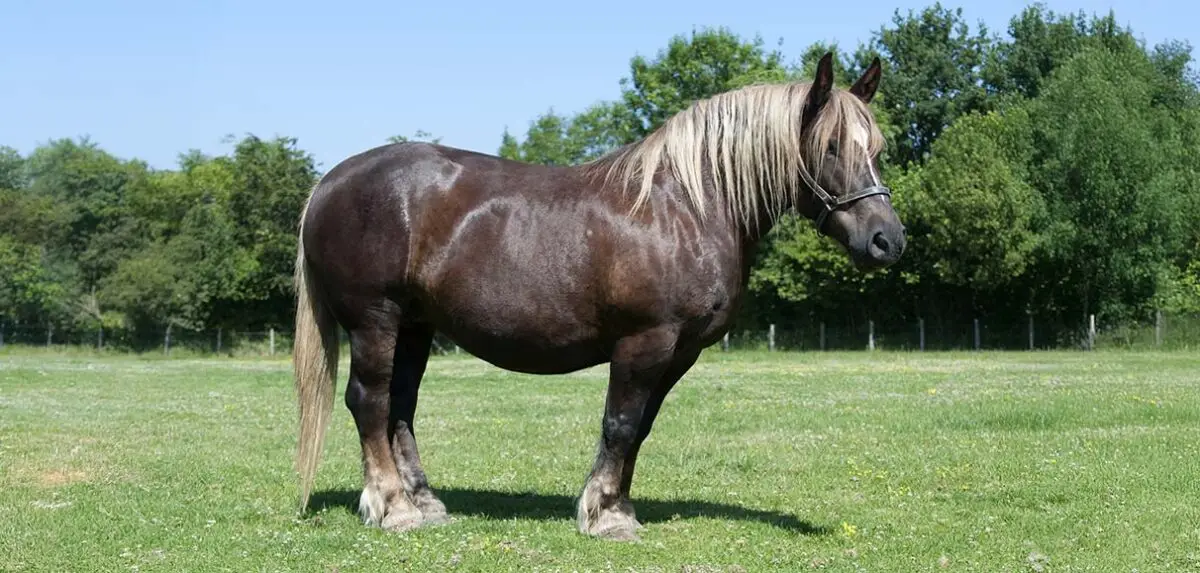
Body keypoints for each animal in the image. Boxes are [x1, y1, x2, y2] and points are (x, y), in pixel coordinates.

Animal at [291, 52, 905, 541]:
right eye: (830, 146)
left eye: (875, 147)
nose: (887, 240)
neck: (687, 207)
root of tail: (329, 183)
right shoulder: (644, 341)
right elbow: (621, 423)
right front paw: (606, 516)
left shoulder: (679, 352)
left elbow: (640, 427)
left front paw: (618, 507)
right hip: (376, 321)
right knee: (369, 402)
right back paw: (392, 507)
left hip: (415, 327)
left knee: (400, 408)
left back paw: (426, 503)